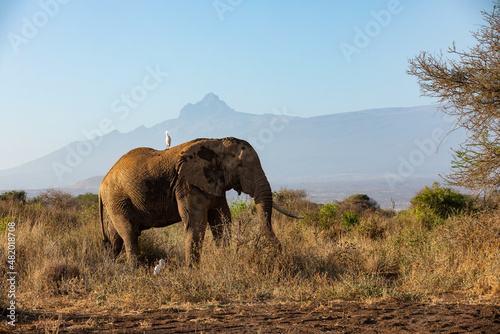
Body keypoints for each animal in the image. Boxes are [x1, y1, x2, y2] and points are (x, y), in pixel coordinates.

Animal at [97, 136, 300, 266]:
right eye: (240, 165)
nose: (278, 251)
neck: (217, 143)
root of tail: (101, 186)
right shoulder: (186, 184)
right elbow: (196, 223)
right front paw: (193, 272)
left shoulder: (214, 184)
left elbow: (222, 221)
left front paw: (224, 263)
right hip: (118, 200)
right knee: (129, 234)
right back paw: (135, 273)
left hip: (116, 203)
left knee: (115, 238)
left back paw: (110, 268)